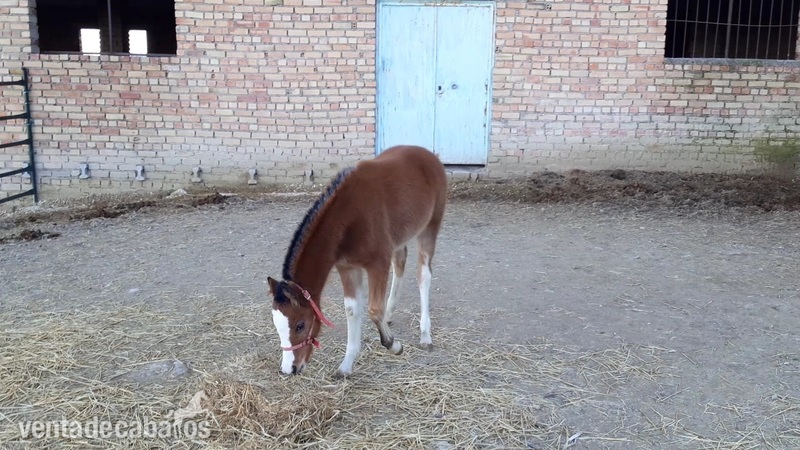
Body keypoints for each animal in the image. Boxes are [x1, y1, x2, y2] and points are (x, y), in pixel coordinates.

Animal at [266, 145, 448, 378]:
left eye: (300, 325)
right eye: (277, 325)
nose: (289, 369)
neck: (349, 218)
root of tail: (427, 153)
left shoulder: (378, 263)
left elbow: (374, 309)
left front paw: (393, 345)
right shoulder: (347, 267)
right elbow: (352, 310)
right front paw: (346, 365)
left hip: (430, 225)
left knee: (424, 275)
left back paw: (425, 335)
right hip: (400, 236)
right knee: (400, 264)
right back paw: (390, 315)